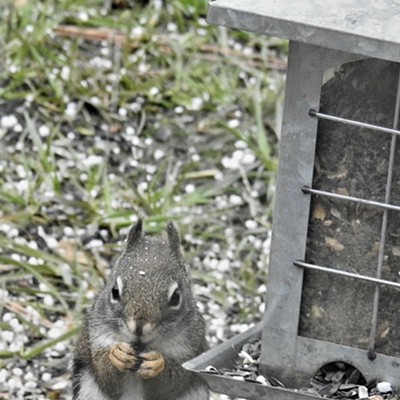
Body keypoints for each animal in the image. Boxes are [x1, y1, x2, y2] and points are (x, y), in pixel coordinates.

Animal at [72, 220, 209, 398]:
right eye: (114, 291)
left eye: (176, 297)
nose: (139, 327)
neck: (141, 346)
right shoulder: (96, 337)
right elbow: (106, 377)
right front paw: (118, 355)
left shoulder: (189, 349)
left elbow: (173, 384)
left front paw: (157, 363)